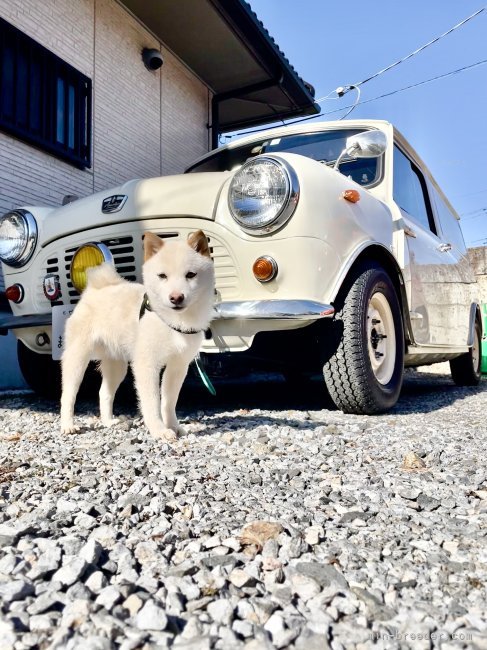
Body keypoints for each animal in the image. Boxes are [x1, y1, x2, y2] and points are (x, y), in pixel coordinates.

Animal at [59, 229, 215, 440]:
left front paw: (174, 427)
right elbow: (152, 401)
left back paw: (108, 421)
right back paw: (68, 425)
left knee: (104, 393)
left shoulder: (178, 366)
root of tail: (95, 288)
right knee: (68, 394)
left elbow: (169, 402)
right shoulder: (146, 364)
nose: (176, 297)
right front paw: (159, 430)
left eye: (190, 275)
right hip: (78, 357)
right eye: (162, 276)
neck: (173, 321)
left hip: (117, 365)